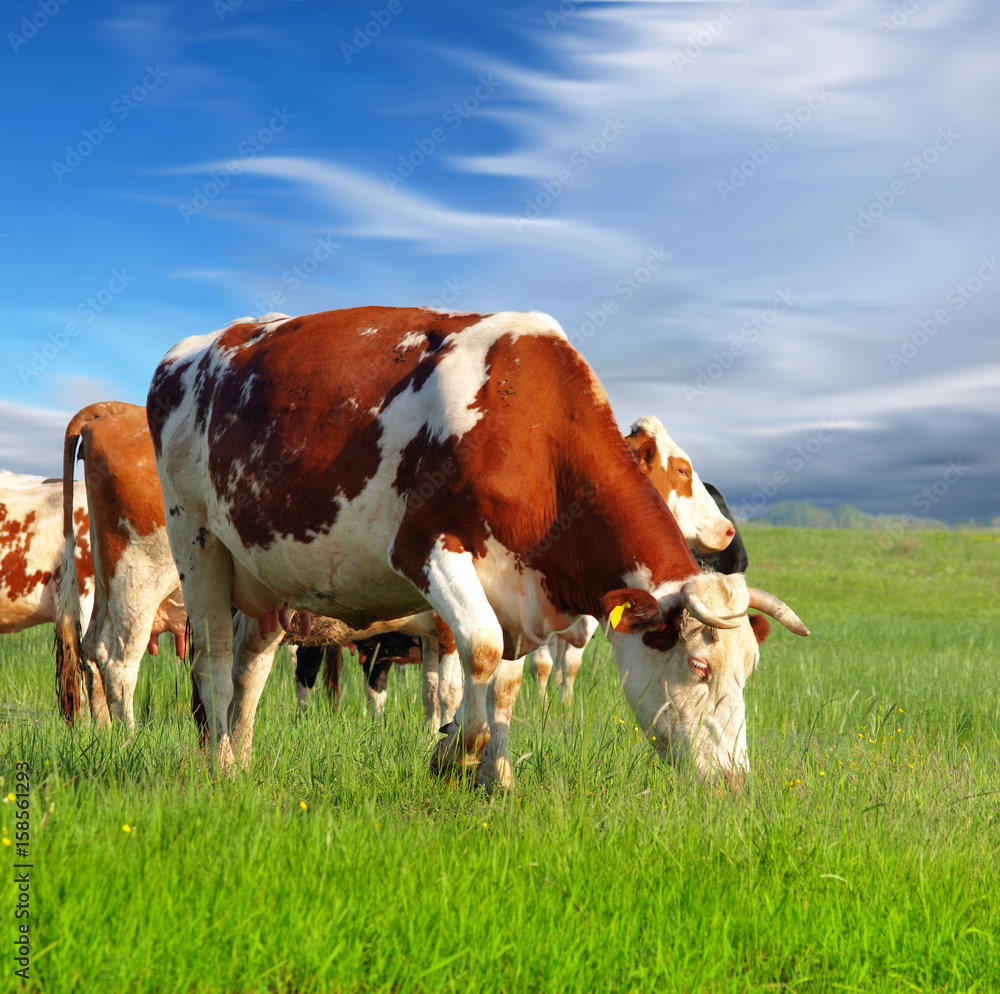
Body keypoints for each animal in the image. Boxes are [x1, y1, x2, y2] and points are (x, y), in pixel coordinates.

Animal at [55, 402, 189, 725]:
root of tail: (111, 408)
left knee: (90, 652)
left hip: (106, 587)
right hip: (137, 583)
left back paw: (103, 731)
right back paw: (129, 736)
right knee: (117, 664)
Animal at [148, 306, 808, 790]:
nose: (736, 782)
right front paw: (453, 753)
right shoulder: (428, 550)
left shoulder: (521, 592)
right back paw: (218, 767)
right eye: (699, 667)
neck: (531, 427)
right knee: (211, 653)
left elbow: (507, 683)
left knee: (253, 661)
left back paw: (240, 757)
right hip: (196, 537)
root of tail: (195, 349)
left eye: (749, 669)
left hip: (265, 574)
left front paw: (499, 778)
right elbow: (480, 653)